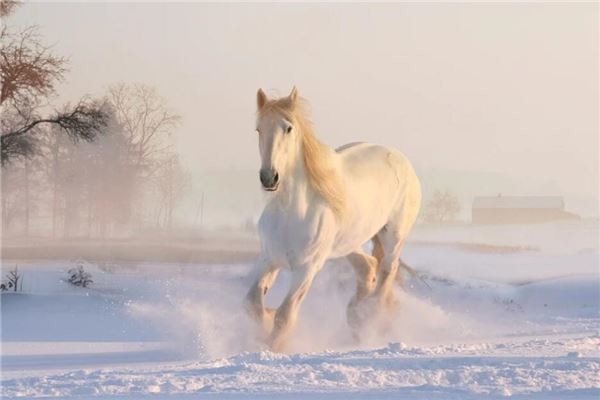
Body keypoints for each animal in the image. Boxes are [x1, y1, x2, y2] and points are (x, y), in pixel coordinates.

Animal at [244, 86, 422, 350]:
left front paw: (273, 346)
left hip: (393, 236)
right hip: (348, 243)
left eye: (288, 128)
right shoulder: (268, 259)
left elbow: (285, 316)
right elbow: (252, 304)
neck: (290, 213)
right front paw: (264, 325)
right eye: (259, 129)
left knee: (387, 271)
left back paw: (369, 316)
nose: (269, 177)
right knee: (368, 267)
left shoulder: (307, 269)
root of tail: (400, 158)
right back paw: (356, 316)